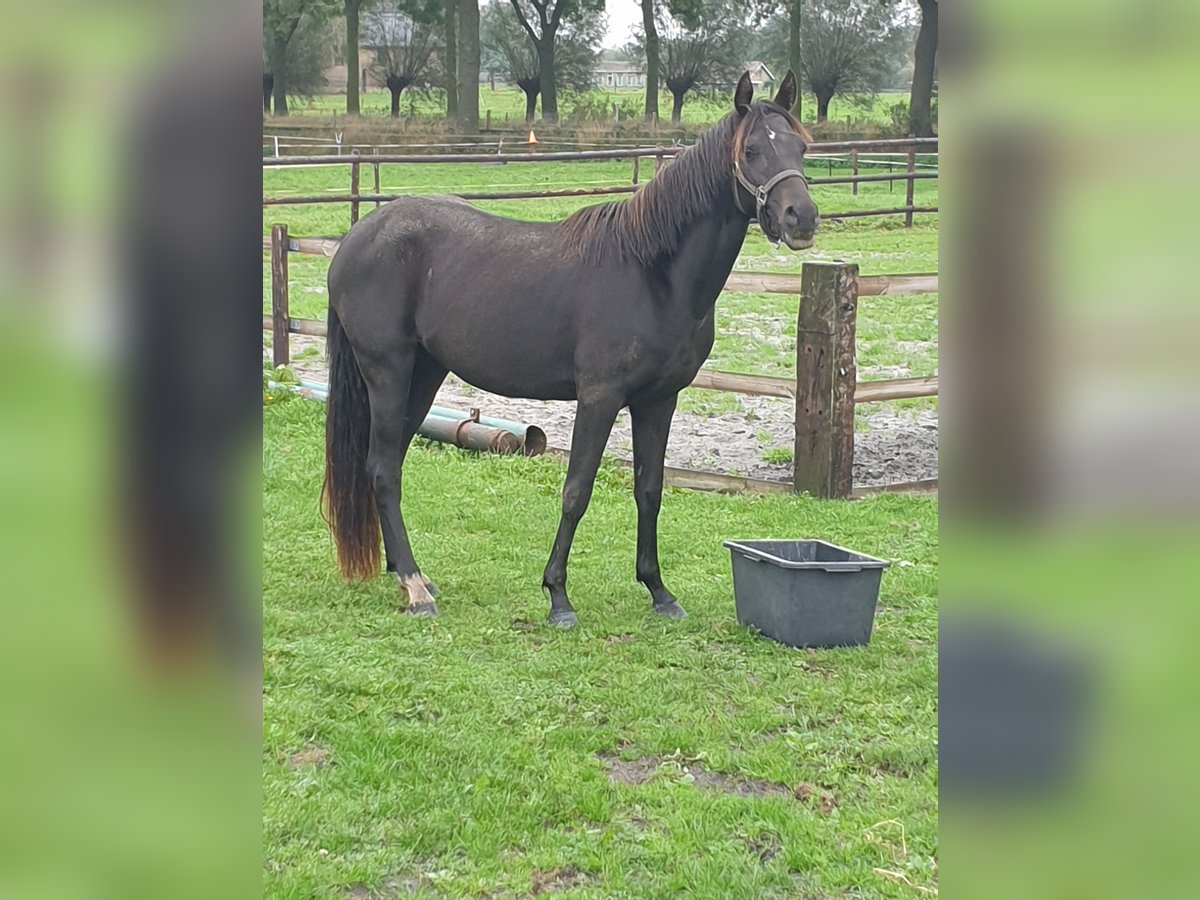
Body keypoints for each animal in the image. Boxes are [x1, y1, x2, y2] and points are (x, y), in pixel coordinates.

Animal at [324, 70, 820, 624]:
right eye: (752, 150)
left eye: (801, 147)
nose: (801, 217)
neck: (653, 273)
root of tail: (356, 238)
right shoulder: (599, 398)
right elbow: (576, 491)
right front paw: (558, 596)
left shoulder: (659, 400)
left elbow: (649, 490)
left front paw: (658, 591)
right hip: (387, 371)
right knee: (382, 470)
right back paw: (415, 588)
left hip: (424, 375)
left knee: (389, 465)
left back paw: (408, 574)